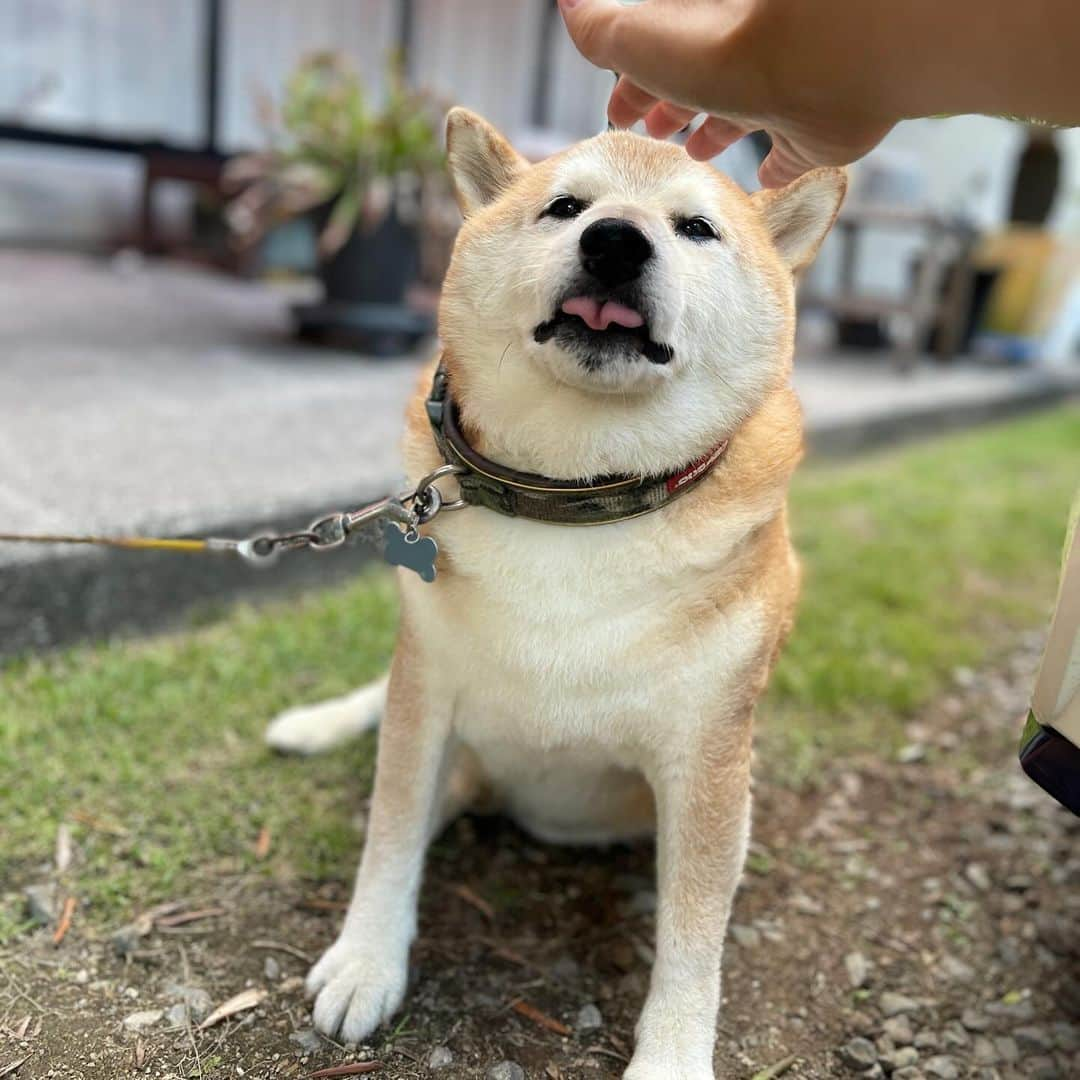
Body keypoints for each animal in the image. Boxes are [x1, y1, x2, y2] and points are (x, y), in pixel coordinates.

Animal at [267, 103, 842, 1080]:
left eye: (695, 228)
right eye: (567, 206)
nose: (615, 241)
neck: (573, 500)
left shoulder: (706, 764)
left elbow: (694, 937)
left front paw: (673, 1056)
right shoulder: (426, 696)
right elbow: (389, 834)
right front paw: (367, 960)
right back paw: (314, 725)